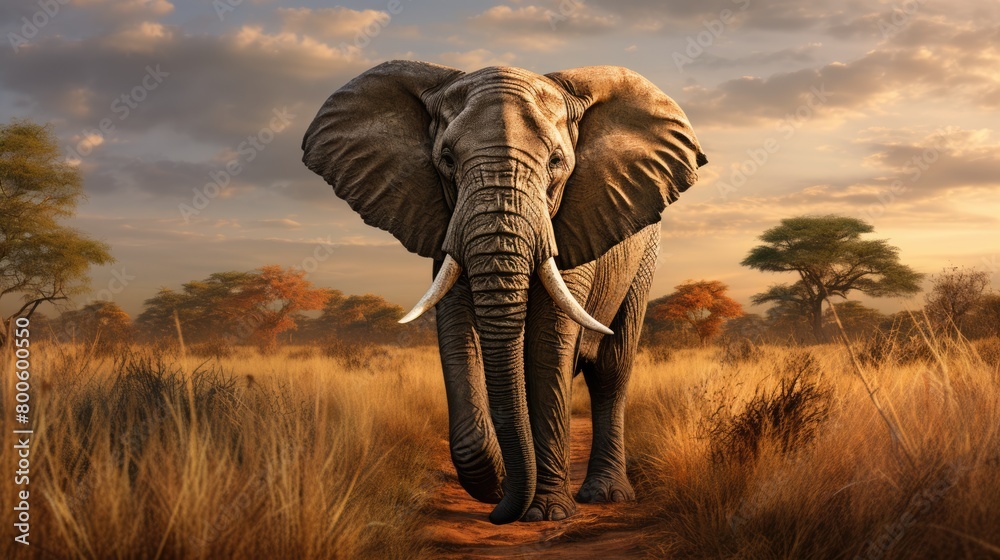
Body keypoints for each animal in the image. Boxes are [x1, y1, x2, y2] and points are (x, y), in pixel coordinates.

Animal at [302, 61, 706, 525]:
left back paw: (604, 495)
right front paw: (496, 484)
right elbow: (456, 334)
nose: (499, 512)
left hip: (643, 261)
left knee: (611, 369)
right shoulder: (446, 224)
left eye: (556, 162)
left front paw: (546, 513)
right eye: (447, 161)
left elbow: (548, 345)